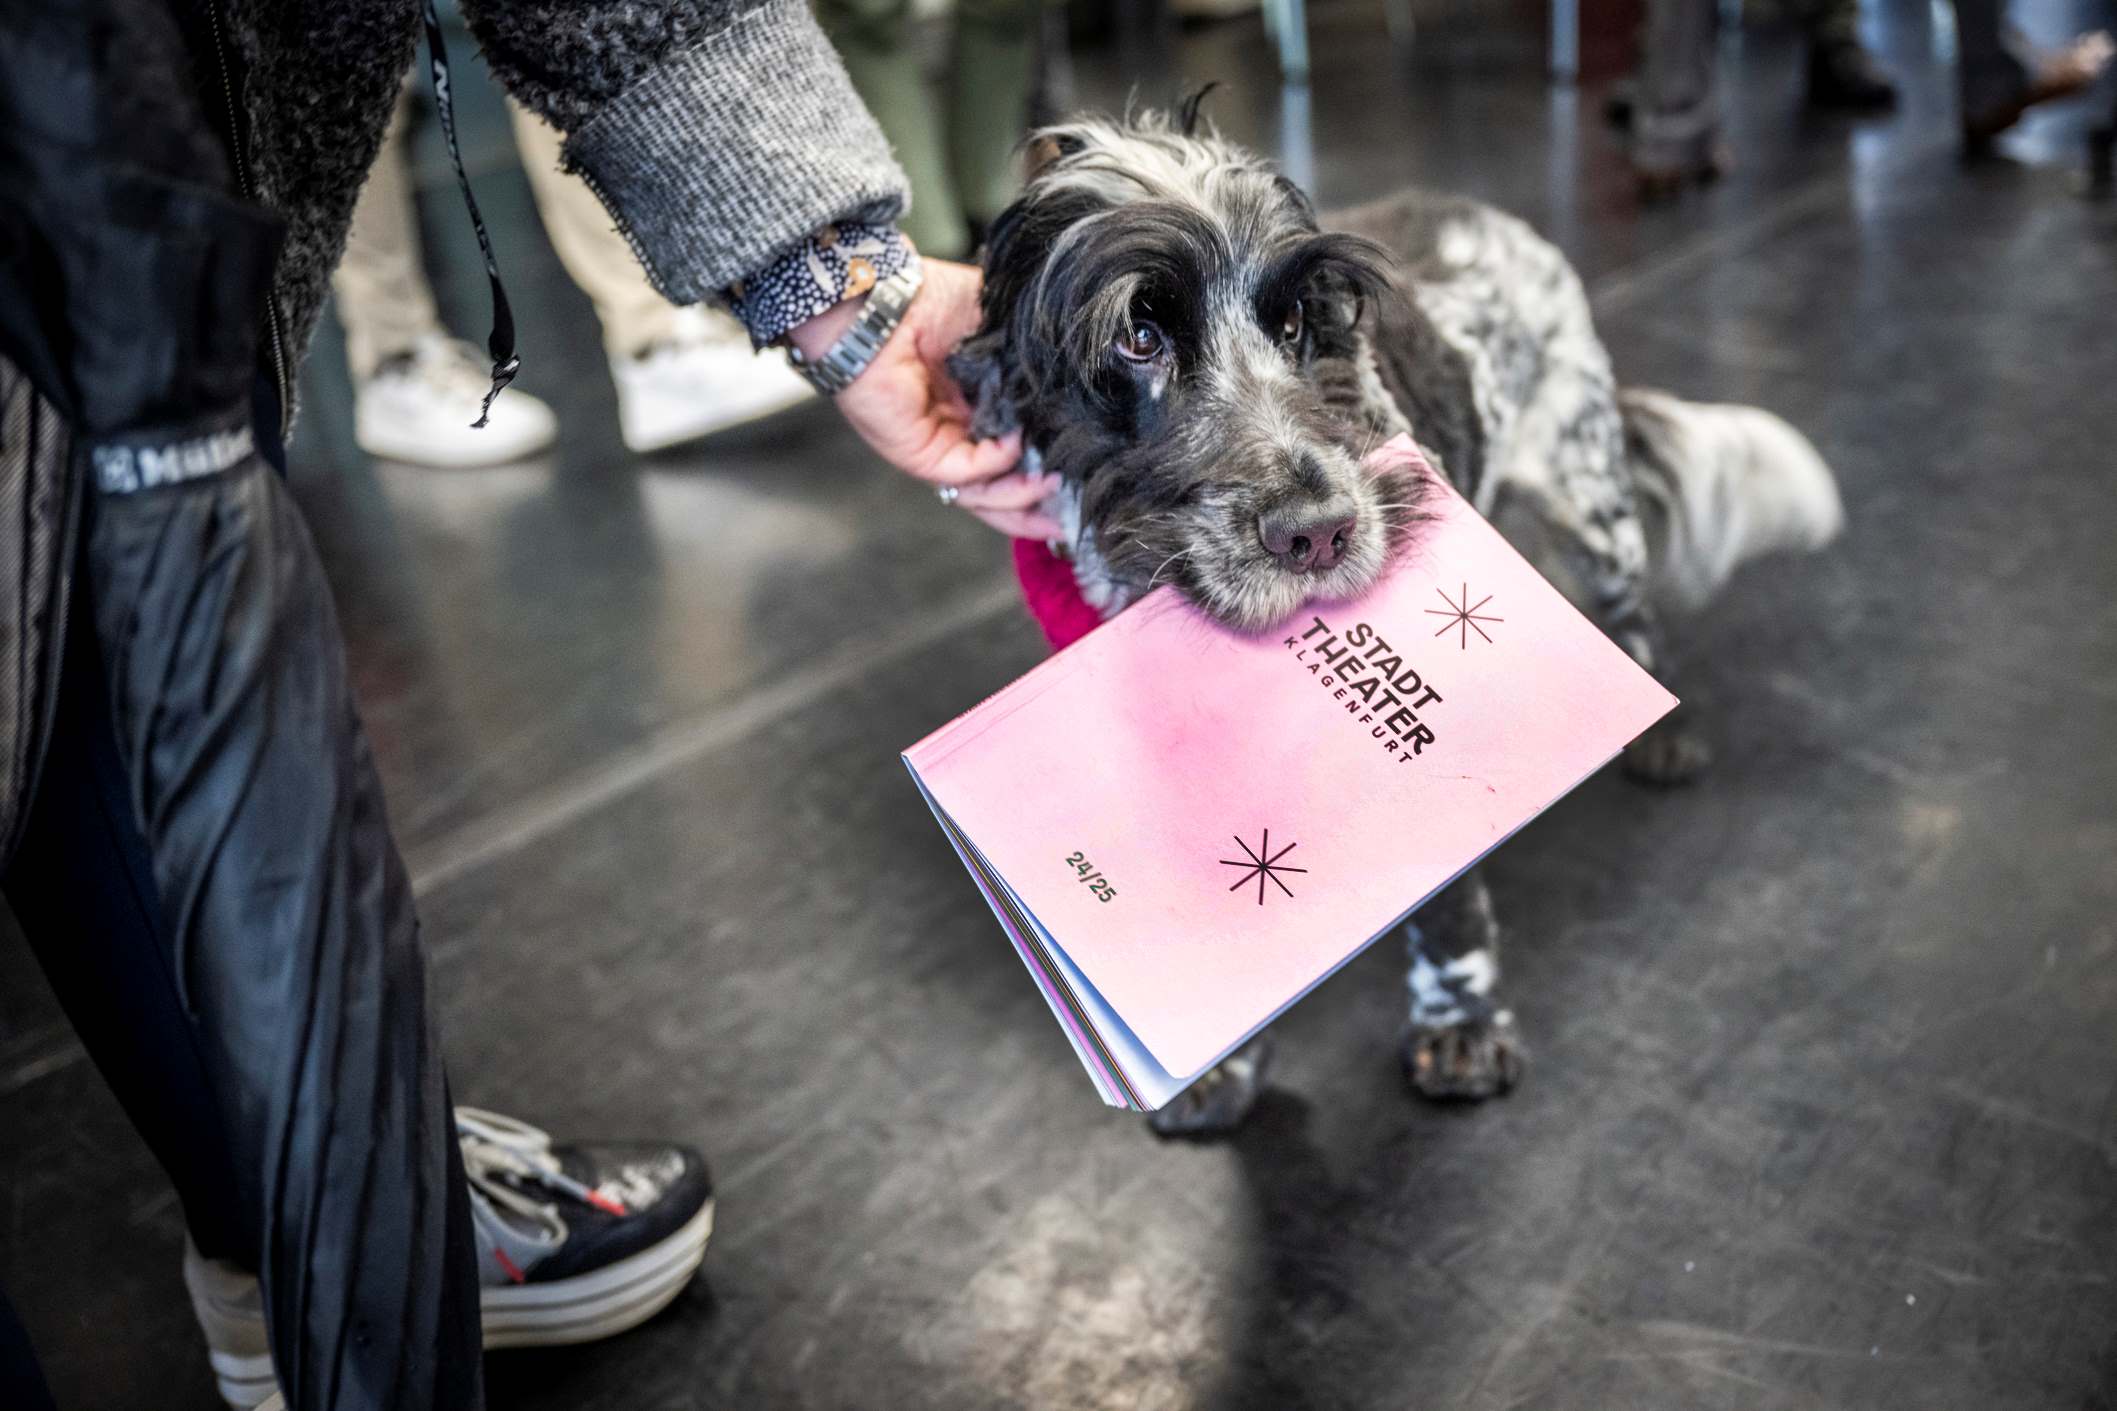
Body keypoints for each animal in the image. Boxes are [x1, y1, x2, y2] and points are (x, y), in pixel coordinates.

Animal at [952, 102, 1846, 1133]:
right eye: (1137, 338)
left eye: (1295, 320)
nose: (1321, 530)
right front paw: (1211, 1065)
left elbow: (1448, 895)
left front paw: (1462, 1028)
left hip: (1591, 501)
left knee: (1630, 612)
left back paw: (1661, 734)